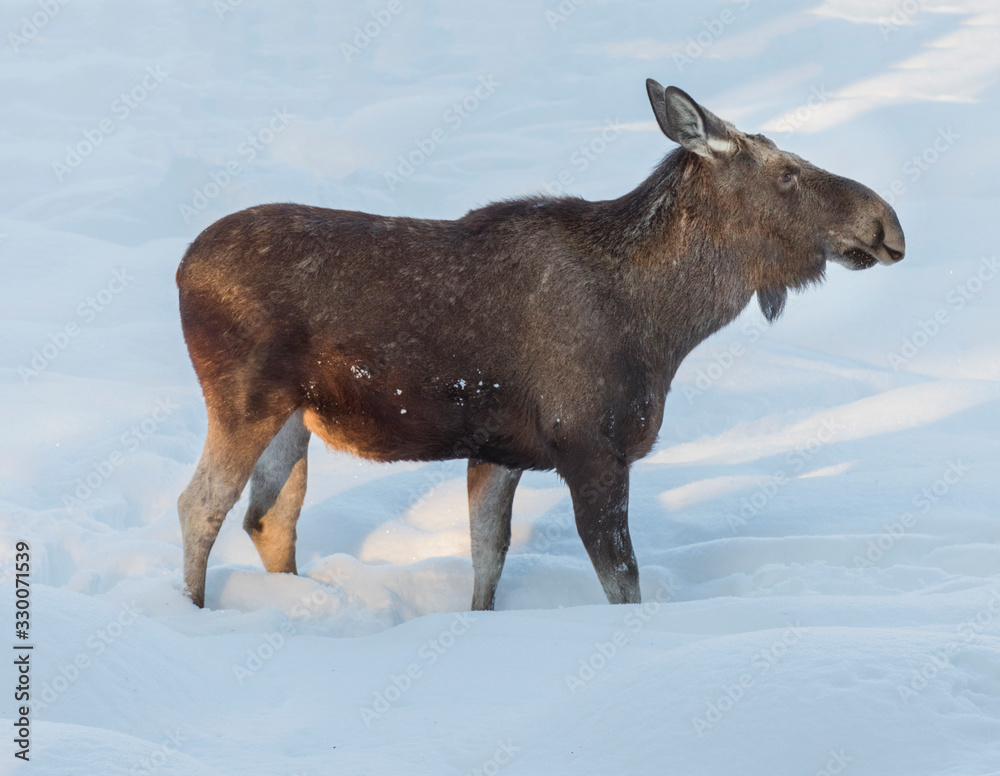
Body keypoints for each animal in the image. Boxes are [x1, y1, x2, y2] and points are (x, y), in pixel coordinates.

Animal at [176, 80, 904, 612]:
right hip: (244, 400)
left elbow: (487, 559)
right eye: (786, 174)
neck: (667, 326)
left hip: (294, 417)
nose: (887, 224)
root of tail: (182, 271)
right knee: (201, 505)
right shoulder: (592, 446)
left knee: (269, 517)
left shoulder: (501, 451)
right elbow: (622, 583)